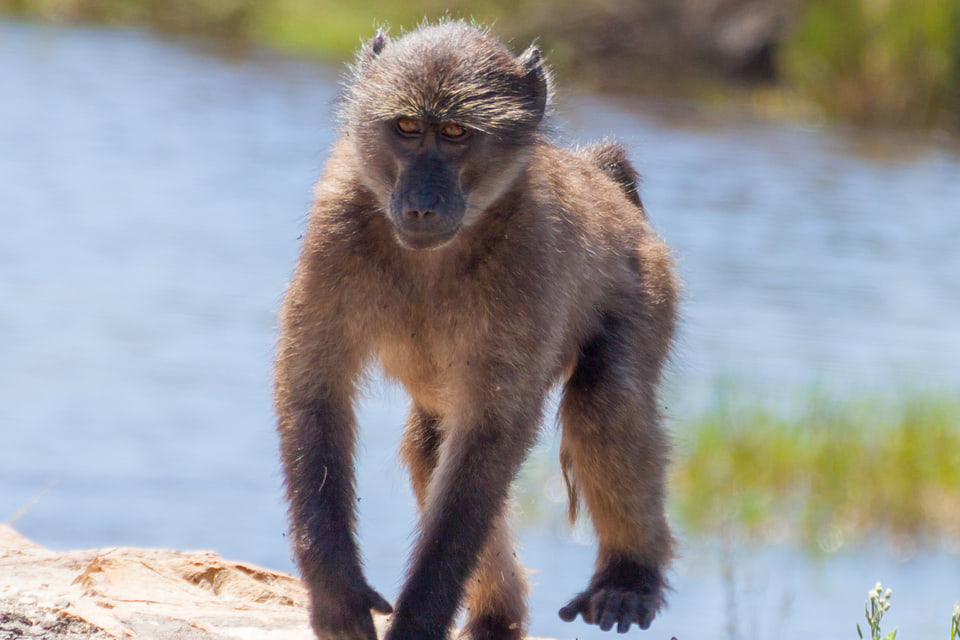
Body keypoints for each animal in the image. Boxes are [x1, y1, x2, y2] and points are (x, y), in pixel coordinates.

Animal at [274, 20, 678, 640]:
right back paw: (498, 614)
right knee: (430, 446)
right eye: (407, 128)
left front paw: (418, 621)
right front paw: (336, 593)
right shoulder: (336, 227)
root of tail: (604, 180)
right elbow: (314, 389)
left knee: (606, 402)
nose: (420, 206)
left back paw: (629, 578)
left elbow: (492, 432)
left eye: (455, 133)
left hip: (648, 281)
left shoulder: (530, 255)